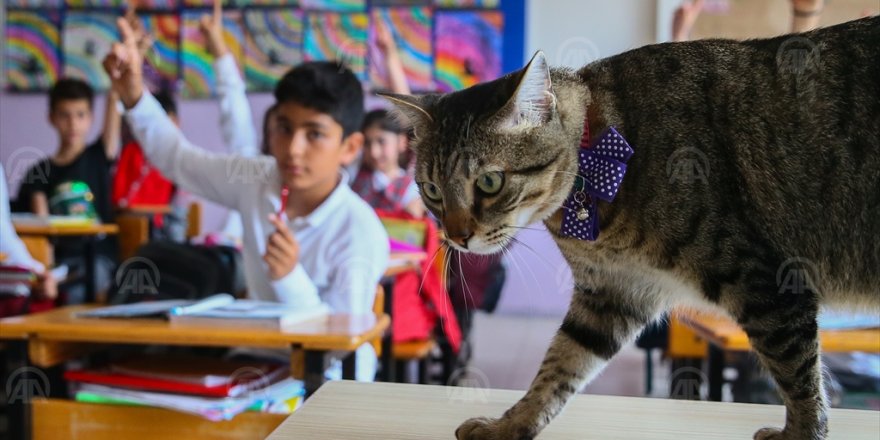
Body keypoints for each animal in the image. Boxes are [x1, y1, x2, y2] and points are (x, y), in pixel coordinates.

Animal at [384, 16, 880, 440]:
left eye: (489, 182)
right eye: (431, 189)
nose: (455, 237)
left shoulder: (768, 284)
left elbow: (798, 379)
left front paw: (801, 432)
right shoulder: (613, 293)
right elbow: (558, 368)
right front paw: (510, 424)